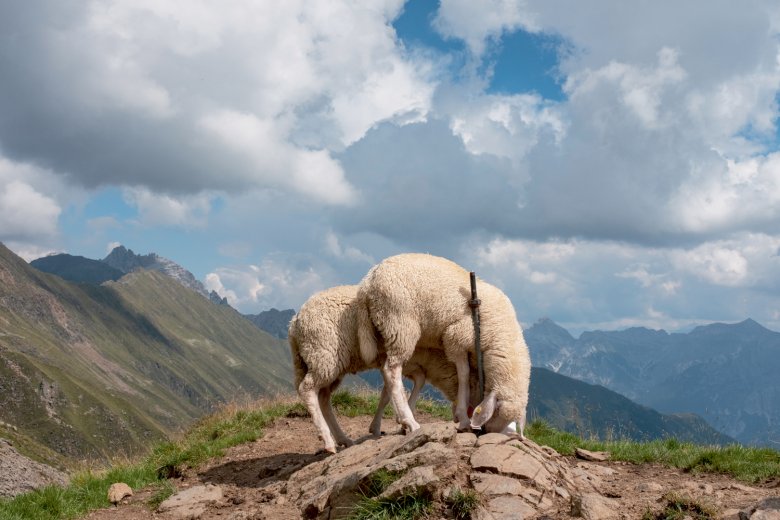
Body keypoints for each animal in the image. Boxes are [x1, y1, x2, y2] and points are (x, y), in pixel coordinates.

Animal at [290, 282, 478, 452]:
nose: (472, 426)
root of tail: (294, 323)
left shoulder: (399, 364)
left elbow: (389, 392)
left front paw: (387, 424)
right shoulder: (406, 361)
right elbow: (401, 386)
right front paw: (403, 419)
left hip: (324, 363)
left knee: (323, 398)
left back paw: (343, 439)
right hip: (323, 355)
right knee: (307, 389)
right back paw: (328, 440)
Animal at [358, 252, 532, 434]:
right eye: (497, 410)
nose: (488, 430)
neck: (499, 334)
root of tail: (368, 280)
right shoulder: (456, 338)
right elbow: (464, 376)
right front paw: (463, 418)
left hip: (385, 327)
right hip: (400, 324)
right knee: (391, 371)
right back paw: (410, 421)